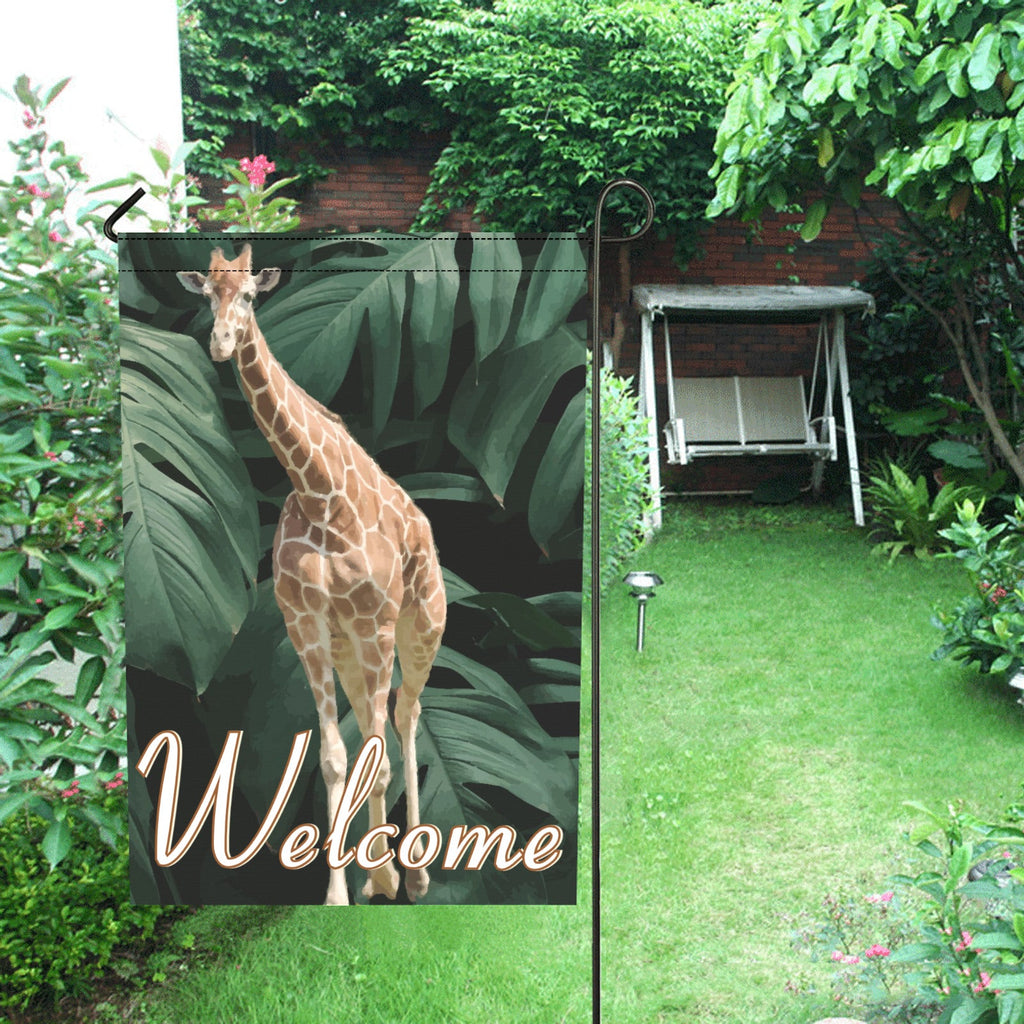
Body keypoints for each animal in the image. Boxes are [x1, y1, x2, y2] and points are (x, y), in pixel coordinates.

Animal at [178, 244, 447, 905]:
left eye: (251, 296)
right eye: (208, 296)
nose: (221, 343)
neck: (319, 493)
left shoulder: (377, 624)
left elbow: (376, 751)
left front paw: (384, 876)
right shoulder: (307, 629)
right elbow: (332, 757)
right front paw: (345, 891)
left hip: (420, 627)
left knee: (407, 716)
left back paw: (417, 872)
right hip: (351, 648)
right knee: (386, 722)